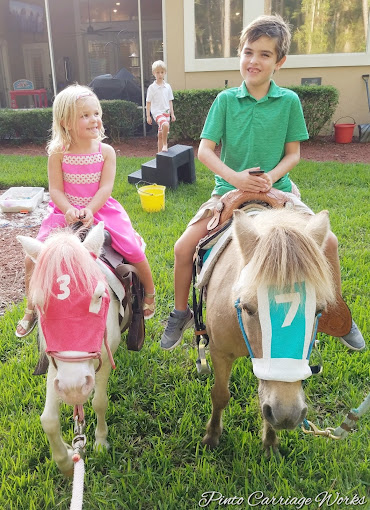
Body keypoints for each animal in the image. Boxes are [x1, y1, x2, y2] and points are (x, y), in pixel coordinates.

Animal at [17, 223, 123, 474]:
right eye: (38, 303)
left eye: (99, 296)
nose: (74, 387)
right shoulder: (56, 366)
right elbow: (48, 420)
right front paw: (66, 461)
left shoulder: (104, 360)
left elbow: (99, 402)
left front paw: (100, 442)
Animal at [202, 205, 336, 452]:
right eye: (248, 308)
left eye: (318, 311)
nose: (287, 414)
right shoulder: (220, 352)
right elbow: (220, 395)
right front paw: (212, 436)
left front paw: (271, 444)